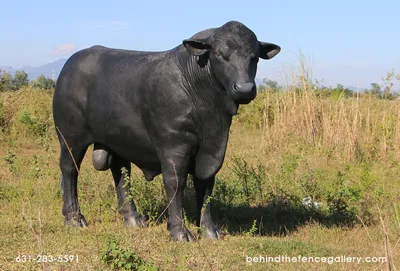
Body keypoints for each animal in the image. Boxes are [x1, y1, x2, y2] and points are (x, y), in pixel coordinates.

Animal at [53, 21, 280, 242]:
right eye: (218, 53)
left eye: (254, 57)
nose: (244, 88)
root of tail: (71, 62)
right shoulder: (174, 145)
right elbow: (175, 183)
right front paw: (179, 232)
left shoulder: (212, 149)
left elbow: (205, 185)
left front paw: (209, 231)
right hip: (70, 137)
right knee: (69, 170)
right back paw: (74, 218)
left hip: (118, 139)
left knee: (122, 173)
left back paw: (133, 219)